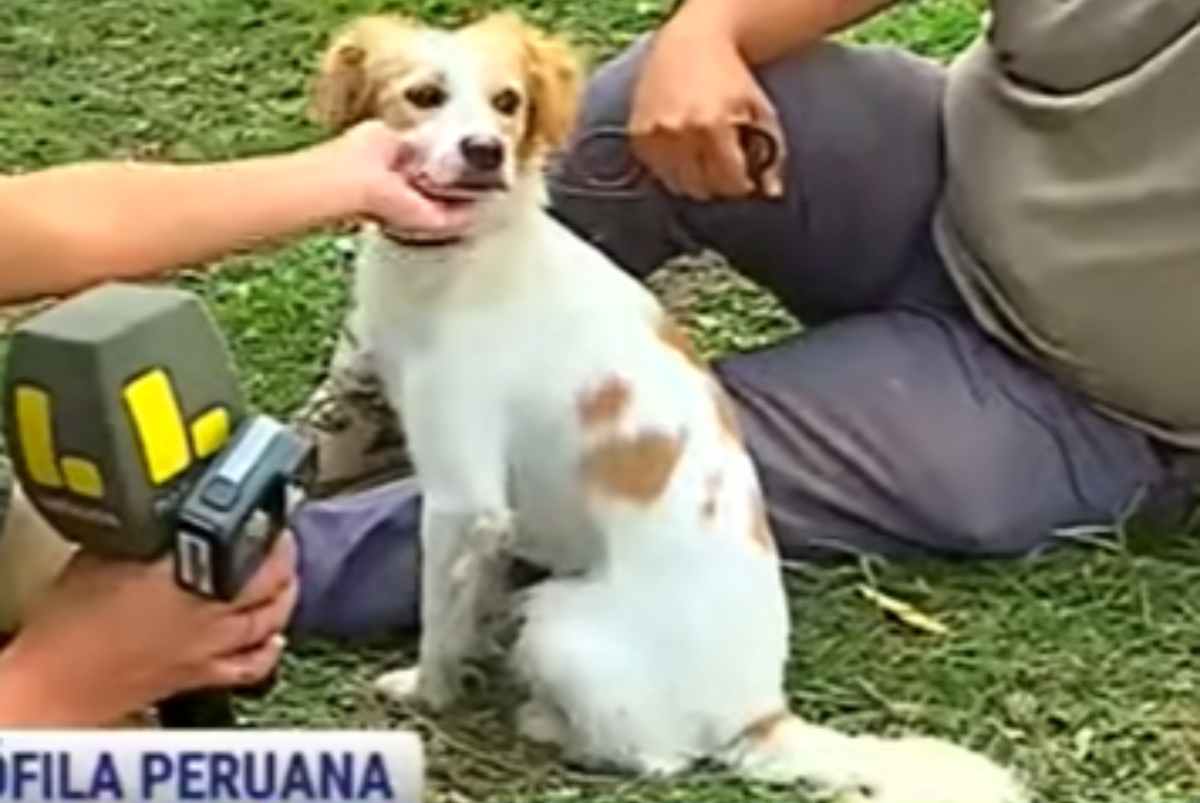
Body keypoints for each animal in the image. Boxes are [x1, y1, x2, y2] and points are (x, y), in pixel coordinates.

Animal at [307, 12, 1029, 803]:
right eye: (424, 95)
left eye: (507, 103)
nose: (485, 151)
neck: (466, 257)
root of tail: (761, 712)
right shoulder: (489, 520)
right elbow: (473, 597)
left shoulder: (462, 496)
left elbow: (440, 616)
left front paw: (425, 690)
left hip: (559, 620)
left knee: (661, 757)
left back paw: (549, 723)